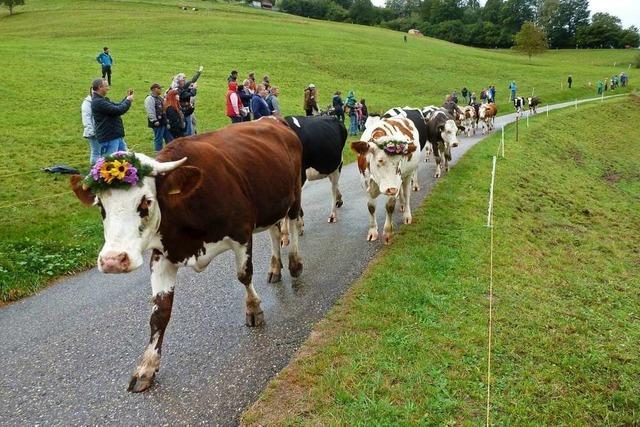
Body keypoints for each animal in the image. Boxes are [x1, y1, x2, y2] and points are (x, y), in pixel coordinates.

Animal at [69, 117, 304, 394]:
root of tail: (272, 119)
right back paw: (275, 268)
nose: (113, 260)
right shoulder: (162, 255)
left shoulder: (242, 234)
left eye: (146, 201)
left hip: (293, 194)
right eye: (101, 206)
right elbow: (160, 313)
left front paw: (254, 309)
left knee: (293, 224)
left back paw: (295, 263)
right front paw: (146, 366)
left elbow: (244, 275)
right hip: (271, 206)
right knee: (275, 232)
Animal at [350, 116, 420, 244]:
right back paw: (401, 204)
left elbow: (389, 206)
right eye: (380, 160)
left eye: (399, 162)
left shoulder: (395, 184)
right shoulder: (366, 184)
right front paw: (372, 231)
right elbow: (371, 207)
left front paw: (387, 233)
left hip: (407, 175)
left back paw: (407, 215)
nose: (391, 189)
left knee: (406, 194)